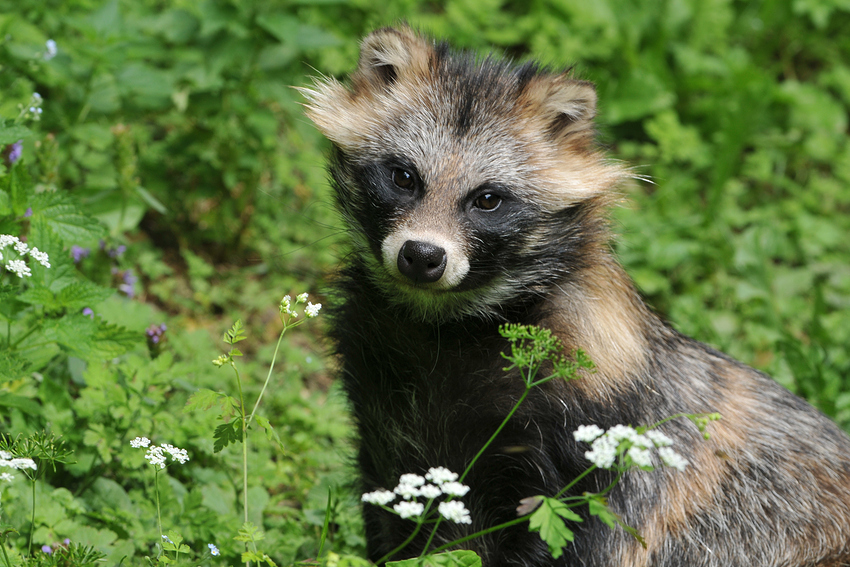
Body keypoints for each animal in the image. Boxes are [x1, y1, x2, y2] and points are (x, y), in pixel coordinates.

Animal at [302, 25, 848, 567]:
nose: (422, 255)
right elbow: (391, 507)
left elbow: (563, 531)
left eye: (487, 199)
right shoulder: (383, 403)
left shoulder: (589, 423)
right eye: (404, 176)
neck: (444, 328)